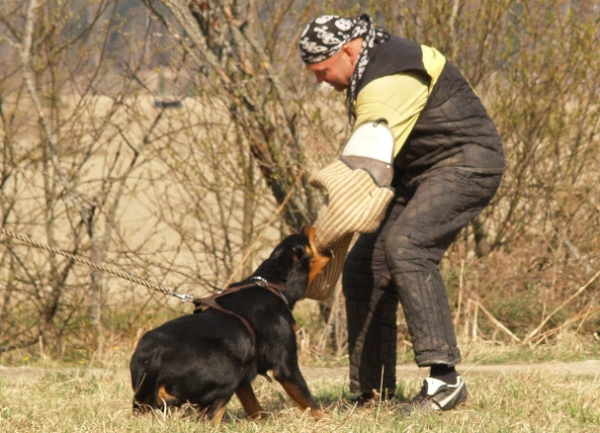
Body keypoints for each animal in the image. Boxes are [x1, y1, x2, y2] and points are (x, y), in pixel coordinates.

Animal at [129, 228, 330, 424]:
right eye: (305, 238)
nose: (309, 227)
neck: (271, 284)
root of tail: (154, 359)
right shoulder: (286, 367)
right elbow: (309, 401)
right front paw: (327, 422)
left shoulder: (244, 379)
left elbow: (254, 406)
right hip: (229, 370)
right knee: (210, 417)